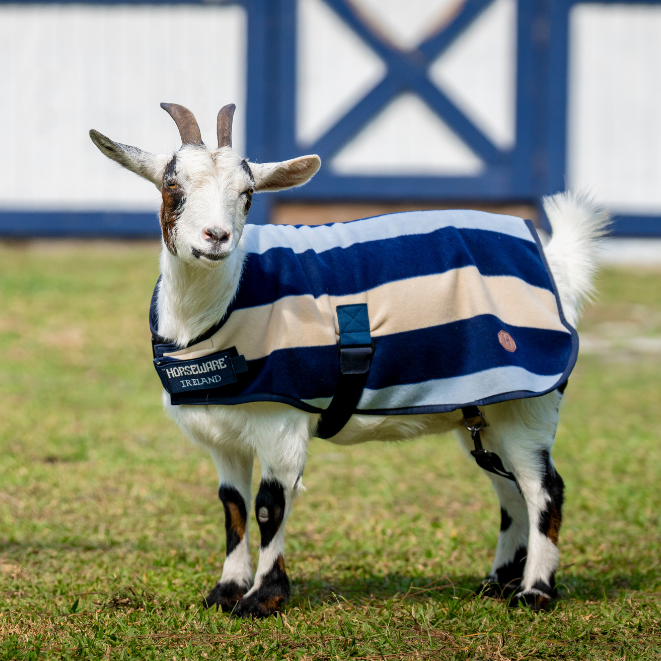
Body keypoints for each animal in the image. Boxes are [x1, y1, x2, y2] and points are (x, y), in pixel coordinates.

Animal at [90, 103, 609, 618]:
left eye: (248, 193)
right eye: (172, 185)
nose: (216, 236)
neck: (220, 308)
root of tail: (555, 267)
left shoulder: (281, 422)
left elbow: (268, 505)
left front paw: (263, 598)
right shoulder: (224, 433)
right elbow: (231, 505)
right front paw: (226, 591)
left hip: (528, 404)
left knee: (543, 488)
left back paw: (535, 591)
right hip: (482, 410)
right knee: (508, 487)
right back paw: (498, 582)